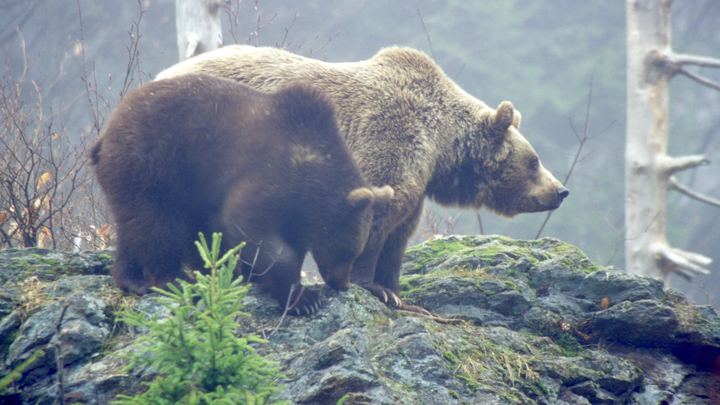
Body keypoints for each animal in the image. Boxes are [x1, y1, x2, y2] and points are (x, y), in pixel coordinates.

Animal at [91, 72, 394, 314]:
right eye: (349, 249)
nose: (343, 283)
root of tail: (105, 134)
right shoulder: (269, 173)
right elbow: (251, 227)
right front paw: (304, 299)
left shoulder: (296, 209)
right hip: (152, 165)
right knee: (157, 225)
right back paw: (173, 279)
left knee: (134, 225)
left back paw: (133, 279)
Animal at [156, 45, 568, 314]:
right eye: (534, 161)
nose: (561, 190)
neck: (439, 147)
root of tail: (159, 75)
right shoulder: (388, 140)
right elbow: (373, 219)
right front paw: (371, 286)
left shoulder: (417, 183)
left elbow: (398, 235)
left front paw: (396, 291)